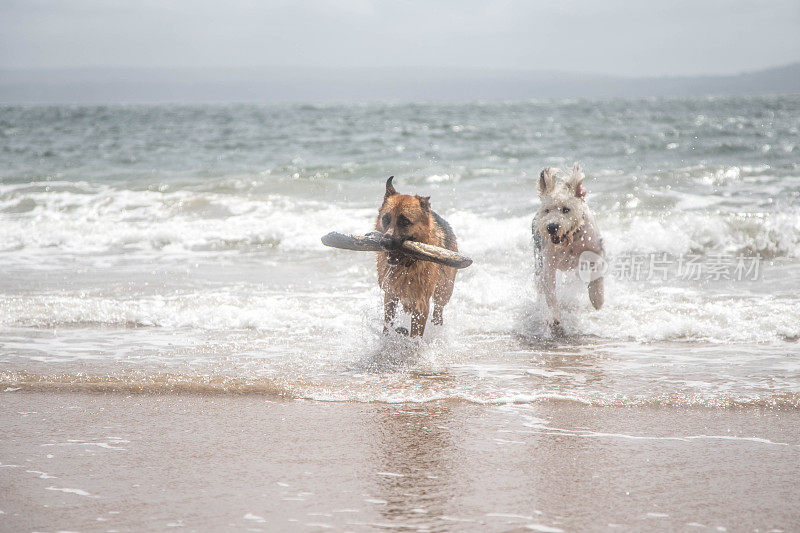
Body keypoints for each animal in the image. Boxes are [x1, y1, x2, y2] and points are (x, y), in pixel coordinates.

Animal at [378, 177, 460, 334]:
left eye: (405, 221)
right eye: (385, 219)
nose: (384, 243)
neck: (407, 264)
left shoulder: (421, 305)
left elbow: (416, 335)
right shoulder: (390, 296)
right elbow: (387, 324)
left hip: (444, 291)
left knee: (438, 310)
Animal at [536, 164, 604, 326]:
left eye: (566, 209)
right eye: (547, 210)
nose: (552, 226)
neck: (570, 240)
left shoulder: (596, 249)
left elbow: (596, 275)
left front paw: (597, 299)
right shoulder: (548, 263)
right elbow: (550, 290)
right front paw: (554, 316)